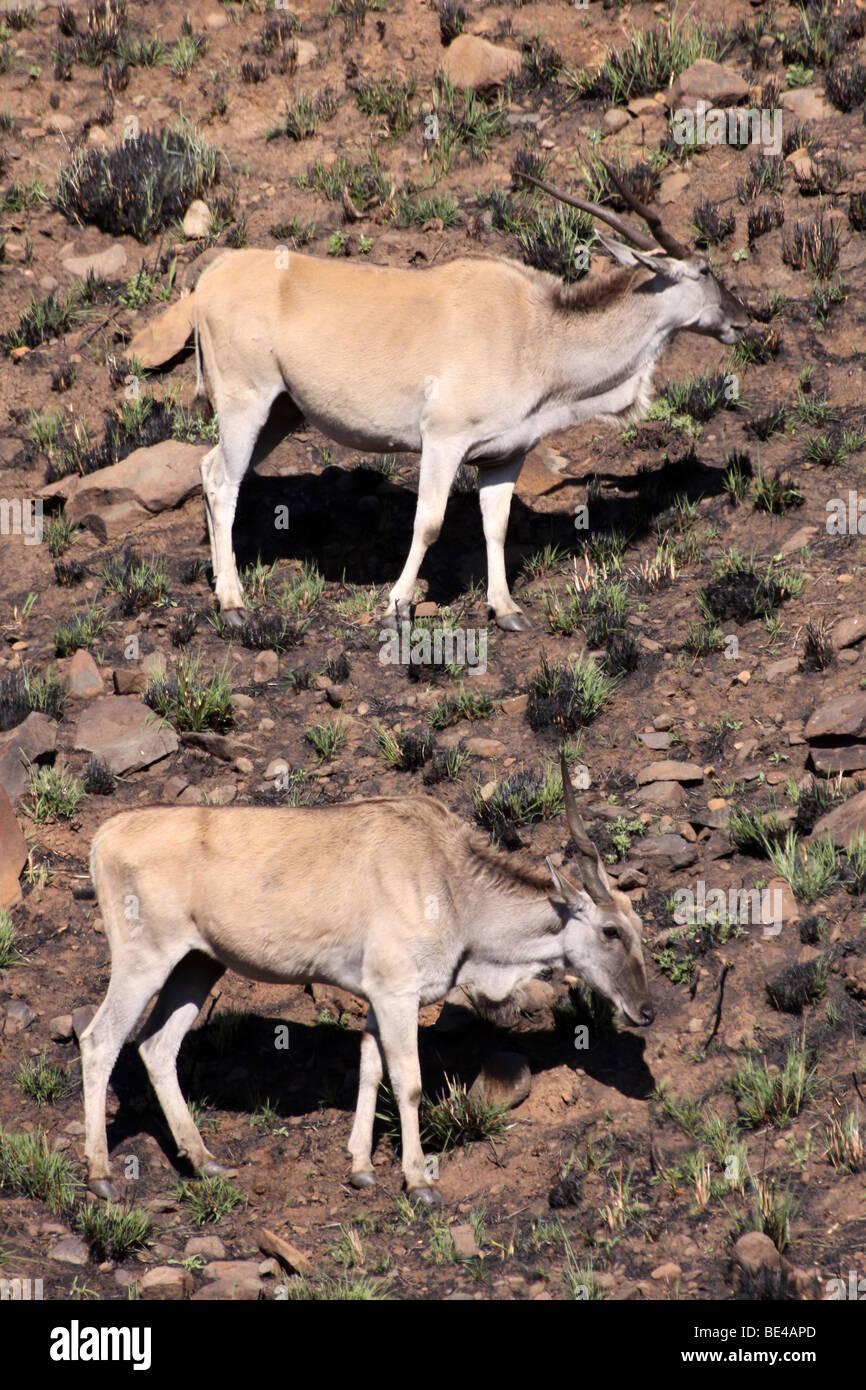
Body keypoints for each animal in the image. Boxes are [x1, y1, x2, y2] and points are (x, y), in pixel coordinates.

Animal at [83, 761, 650, 1206]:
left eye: (639, 927)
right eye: (610, 930)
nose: (645, 1010)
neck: (449, 884)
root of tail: (105, 834)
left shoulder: (379, 997)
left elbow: (370, 1068)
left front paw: (361, 1167)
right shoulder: (398, 994)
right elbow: (409, 1082)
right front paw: (418, 1181)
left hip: (198, 964)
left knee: (157, 1046)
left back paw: (204, 1160)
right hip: (143, 961)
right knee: (100, 1041)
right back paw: (101, 1175)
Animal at [193, 164, 750, 636]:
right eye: (704, 270)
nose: (744, 318)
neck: (535, 333)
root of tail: (210, 278)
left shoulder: (504, 456)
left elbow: (496, 526)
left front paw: (506, 610)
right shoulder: (443, 441)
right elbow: (429, 523)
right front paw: (396, 606)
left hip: (281, 412)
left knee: (210, 468)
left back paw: (224, 590)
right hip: (247, 402)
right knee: (223, 481)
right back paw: (233, 602)